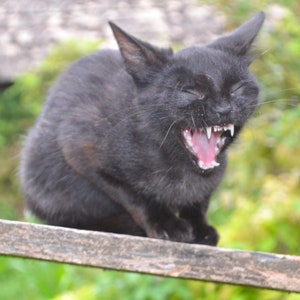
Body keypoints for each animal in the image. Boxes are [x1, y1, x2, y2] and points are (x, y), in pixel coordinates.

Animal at [20, 12, 264, 246]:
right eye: (191, 91)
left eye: (236, 88)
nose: (224, 109)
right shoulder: (79, 148)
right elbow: (133, 195)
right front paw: (167, 224)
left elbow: (199, 200)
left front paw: (200, 228)